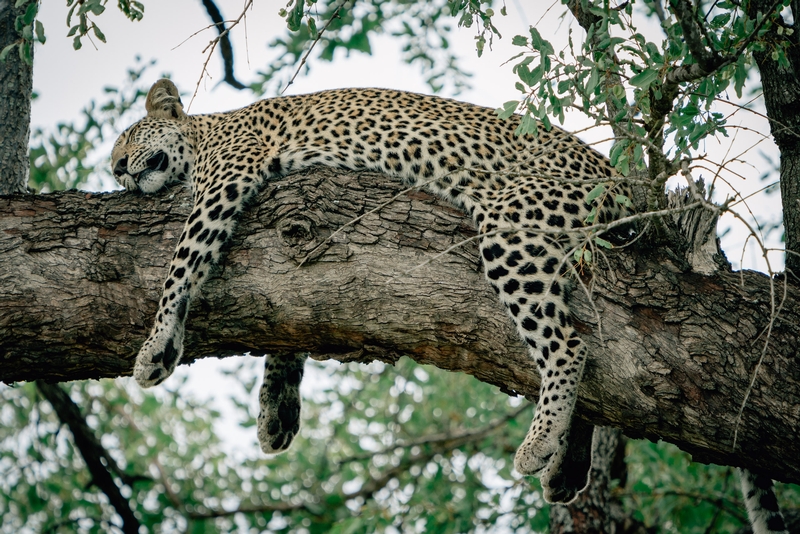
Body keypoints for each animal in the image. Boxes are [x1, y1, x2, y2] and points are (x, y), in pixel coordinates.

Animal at [112, 77, 788, 532]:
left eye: (128, 136)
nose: (117, 169)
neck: (206, 132)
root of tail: (622, 178)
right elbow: (291, 326)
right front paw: (277, 410)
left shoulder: (226, 182)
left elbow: (180, 266)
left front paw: (156, 345)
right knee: (593, 343)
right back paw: (566, 467)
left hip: (513, 221)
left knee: (567, 345)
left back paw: (539, 446)